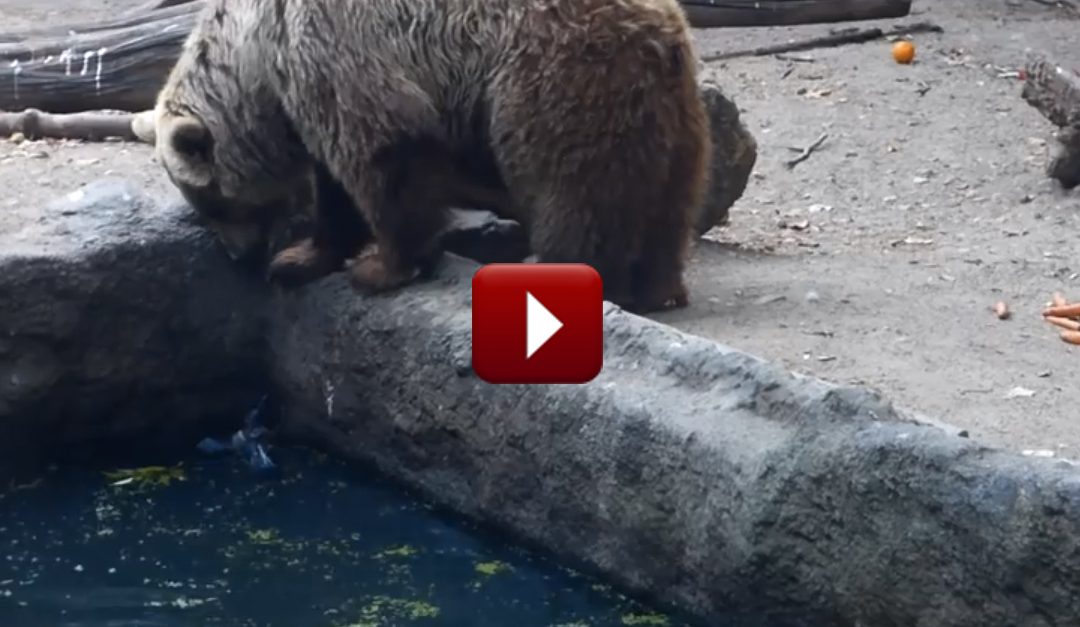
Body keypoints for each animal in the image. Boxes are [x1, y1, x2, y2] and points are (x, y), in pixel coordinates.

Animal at [152, 0, 708, 312]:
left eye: (211, 202)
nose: (239, 257)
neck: (254, 53)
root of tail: (659, 30)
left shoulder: (334, 50)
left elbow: (383, 154)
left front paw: (381, 268)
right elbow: (334, 184)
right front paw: (299, 259)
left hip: (553, 78)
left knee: (573, 190)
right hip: (674, 109)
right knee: (671, 198)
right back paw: (657, 285)